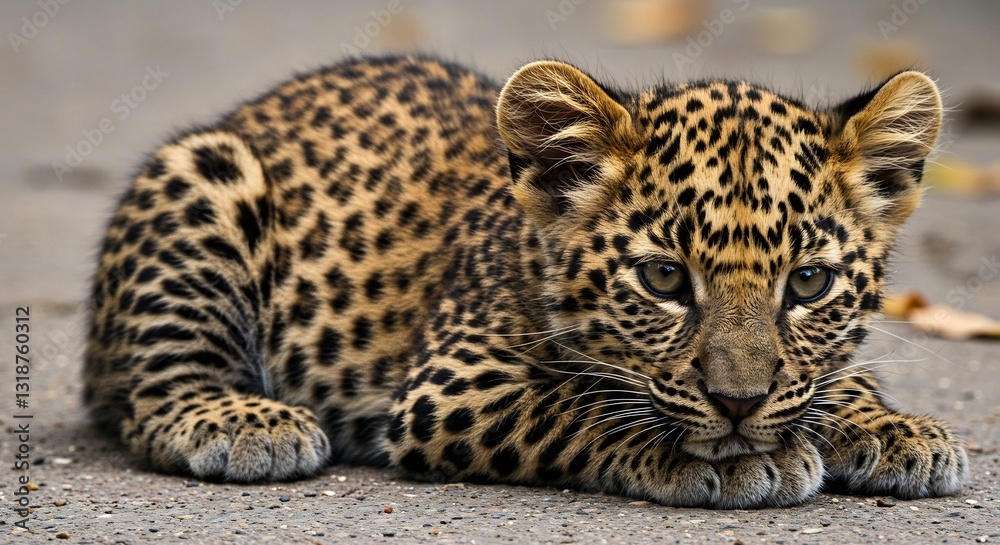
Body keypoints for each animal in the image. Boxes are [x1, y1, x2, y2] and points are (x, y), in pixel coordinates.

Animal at [83, 55, 968, 508]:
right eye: (662, 277)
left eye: (810, 283)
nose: (739, 404)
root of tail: (253, 112)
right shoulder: (452, 385)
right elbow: (579, 404)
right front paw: (733, 457)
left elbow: (830, 379)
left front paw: (891, 427)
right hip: (203, 177)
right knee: (149, 396)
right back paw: (243, 419)